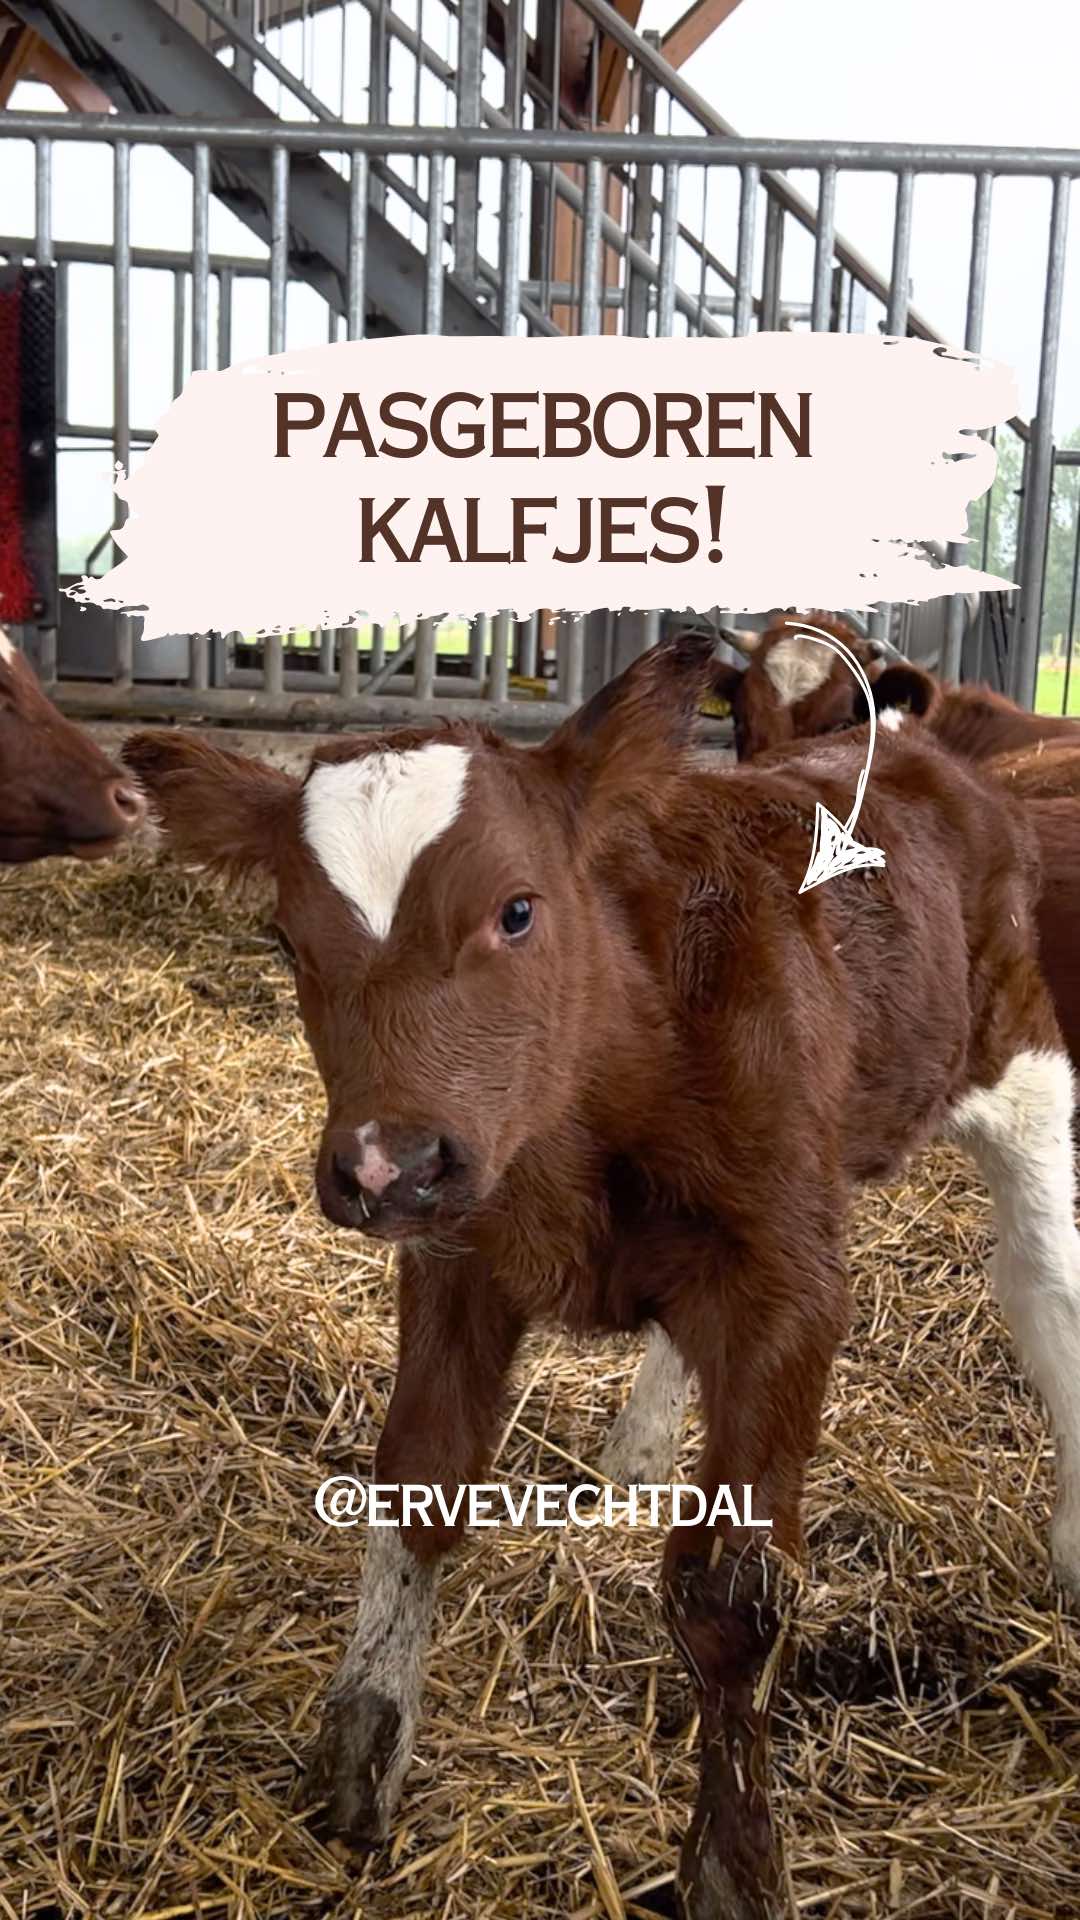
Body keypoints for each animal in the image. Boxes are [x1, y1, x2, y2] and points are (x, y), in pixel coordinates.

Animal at [122, 636, 1080, 1920]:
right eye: (284, 938)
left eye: (518, 910)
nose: (386, 1165)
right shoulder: (455, 1259)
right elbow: (418, 1483)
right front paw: (362, 1746)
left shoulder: (789, 1280)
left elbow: (729, 1591)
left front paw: (734, 1863)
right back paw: (630, 1469)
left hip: (1019, 1067)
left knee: (1044, 1279)